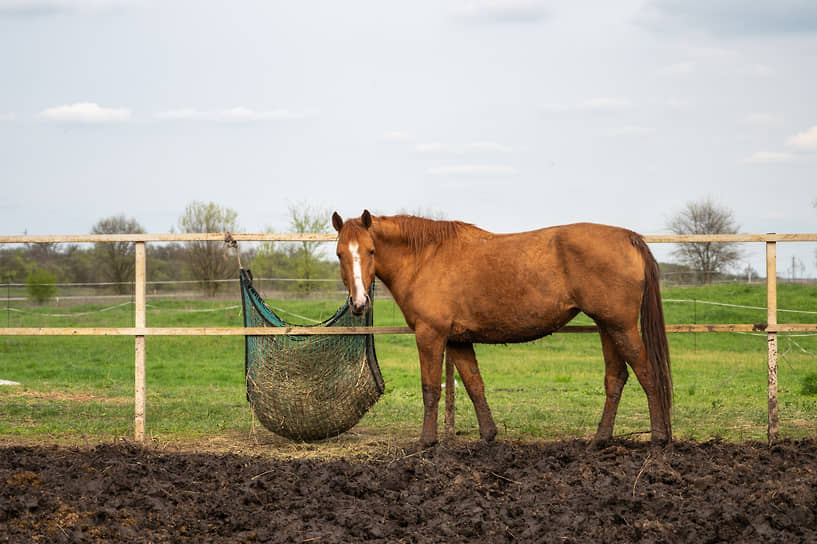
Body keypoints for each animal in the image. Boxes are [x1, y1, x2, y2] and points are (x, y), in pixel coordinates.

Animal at [330, 209, 668, 446]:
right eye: (340, 254)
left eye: (371, 251)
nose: (359, 303)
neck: (426, 257)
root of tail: (628, 237)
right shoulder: (457, 340)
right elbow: (474, 384)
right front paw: (489, 434)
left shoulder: (431, 335)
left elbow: (430, 388)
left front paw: (427, 441)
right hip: (607, 327)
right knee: (616, 378)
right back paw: (600, 439)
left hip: (622, 327)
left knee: (647, 373)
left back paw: (659, 437)